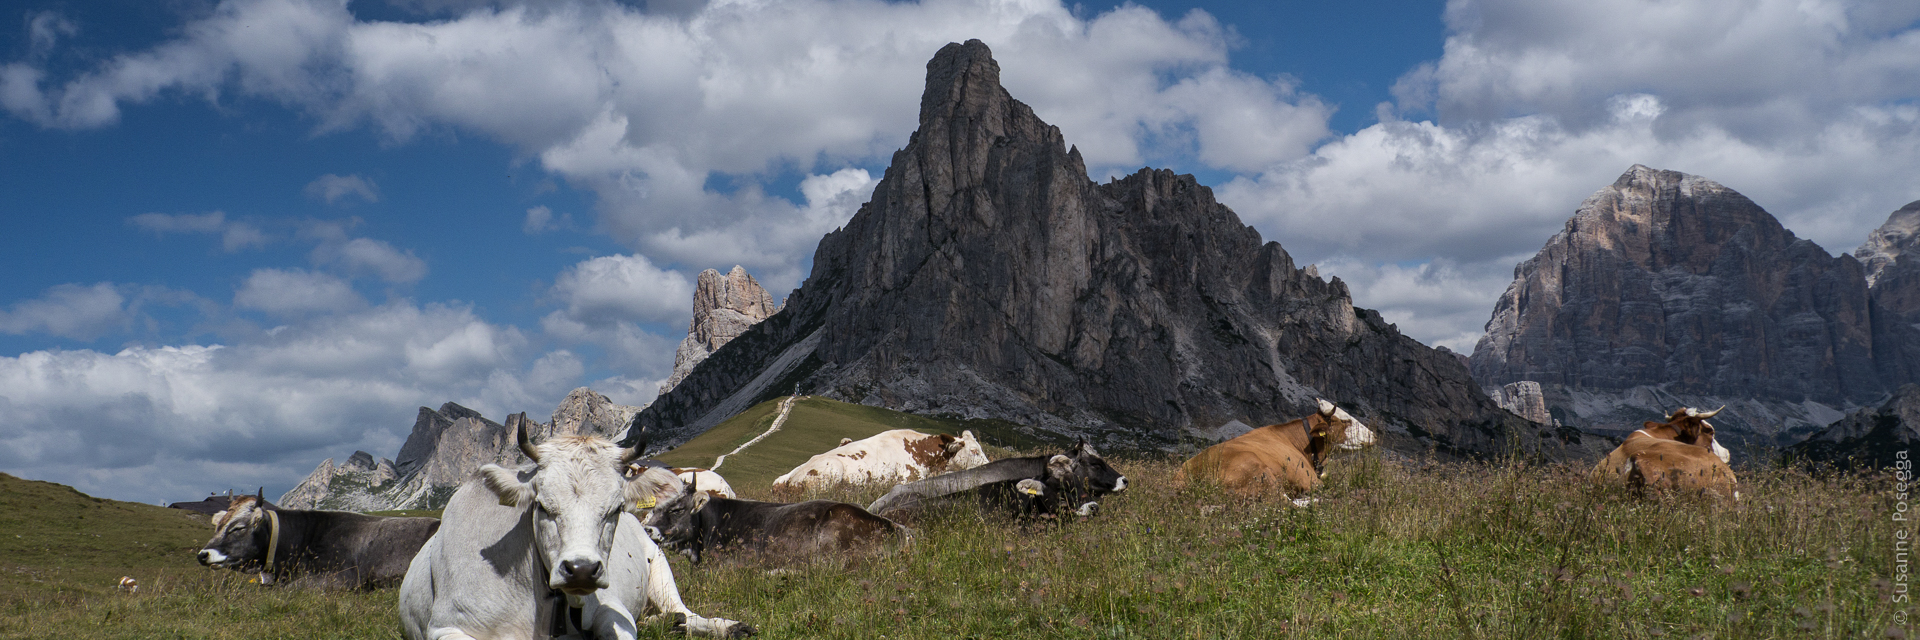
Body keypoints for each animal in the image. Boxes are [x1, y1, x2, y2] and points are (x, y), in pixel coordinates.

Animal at [401, 411, 752, 634]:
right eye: (541, 506)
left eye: (615, 508)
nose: (581, 569)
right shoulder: (448, 625)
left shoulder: (614, 611)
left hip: (660, 569)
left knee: (684, 612)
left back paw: (728, 626)